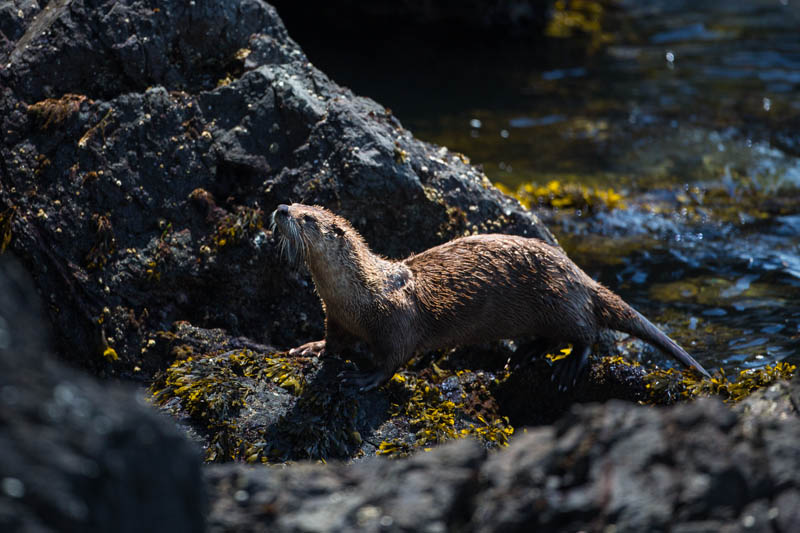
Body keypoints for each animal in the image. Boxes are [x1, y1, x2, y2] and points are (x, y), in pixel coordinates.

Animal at [272, 202, 708, 388]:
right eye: (294, 201)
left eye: (306, 217)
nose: (280, 208)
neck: (360, 294)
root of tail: (581, 276)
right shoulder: (334, 316)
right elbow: (332, 342)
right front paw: (310, 348)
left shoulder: (397, 322)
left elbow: (394, 357)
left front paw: (365, 378)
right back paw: (525, 354)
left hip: (561, 301)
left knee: (587, 333)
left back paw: (568, 366)